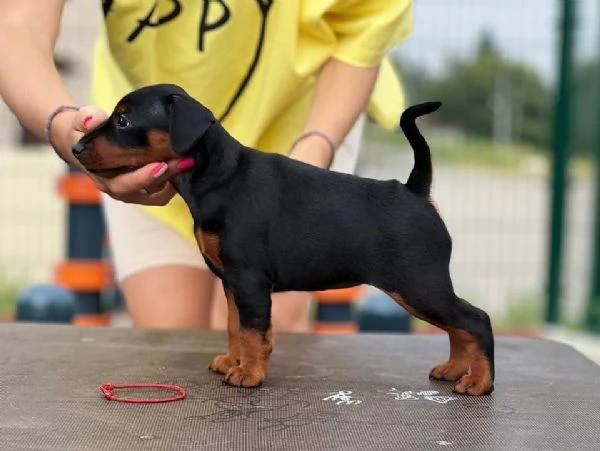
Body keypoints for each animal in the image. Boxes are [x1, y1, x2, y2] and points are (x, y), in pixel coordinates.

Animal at [72, 84, 494, 396]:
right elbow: (235, 326)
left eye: (124, 119)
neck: (217, 176)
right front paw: (233, 361)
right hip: (423, 288)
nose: (75, 148)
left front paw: (249, 374)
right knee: (459, 326)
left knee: (474, 320)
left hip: (417, 284)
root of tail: (414, 191)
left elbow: (252, 330)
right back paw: (453, 370)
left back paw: (479, 382)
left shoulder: (249, 279)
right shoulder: (232, 281)